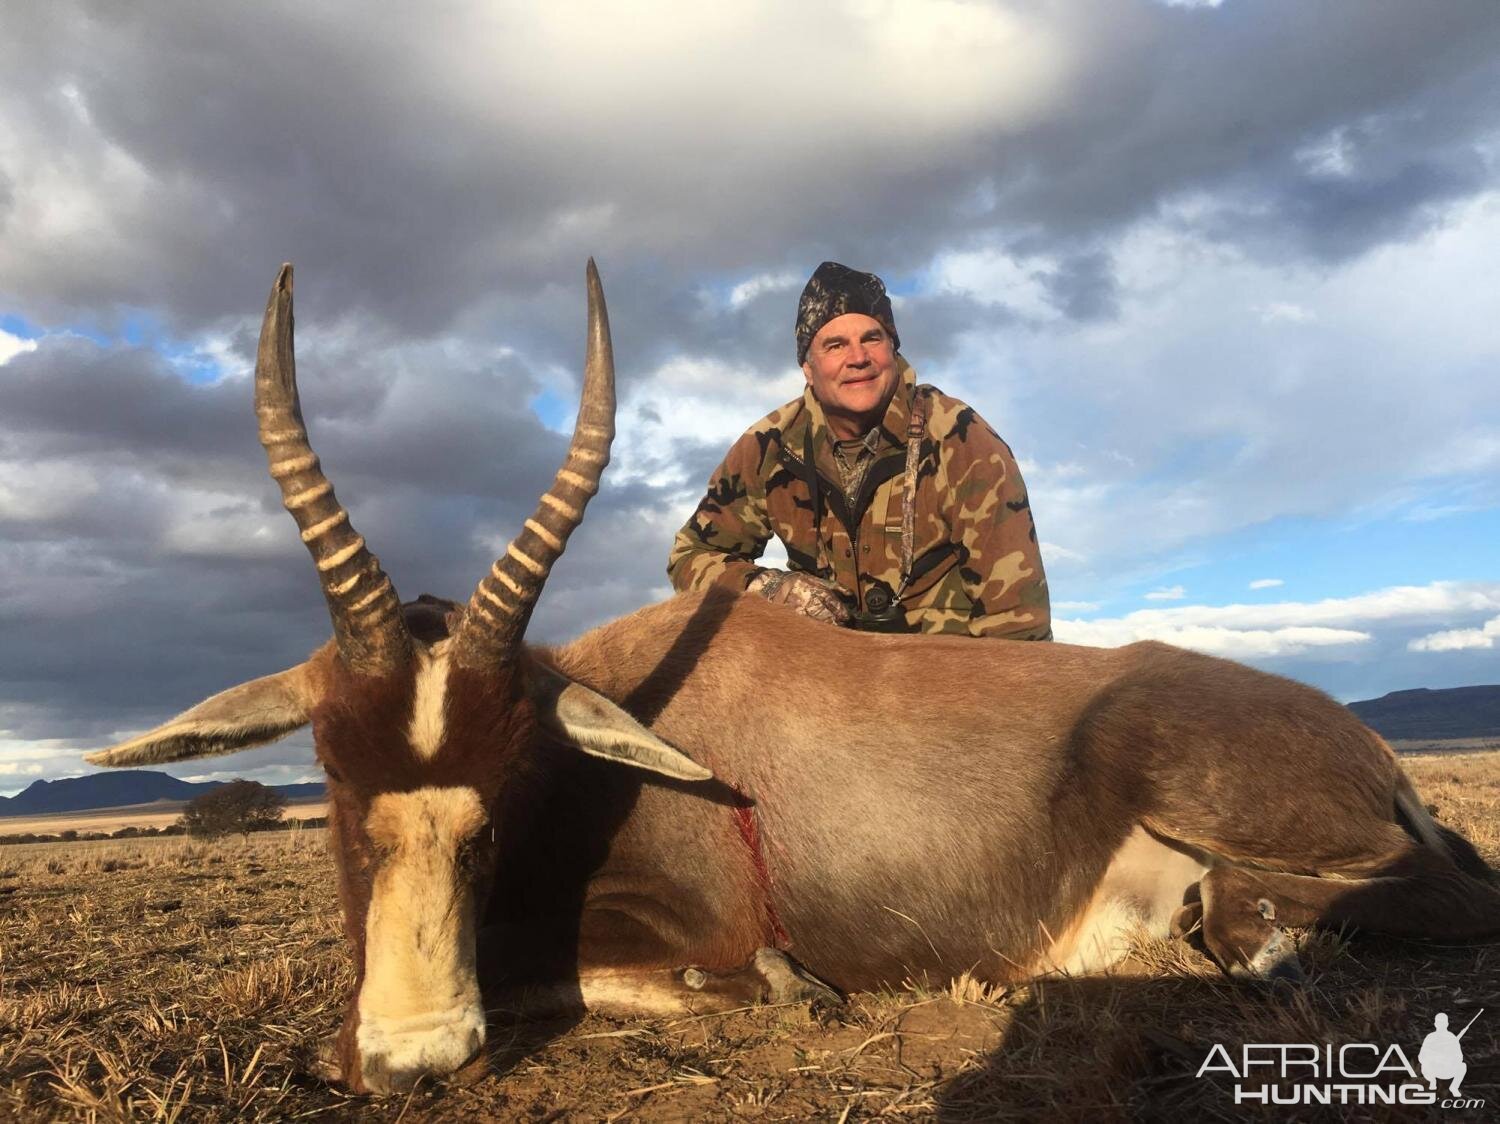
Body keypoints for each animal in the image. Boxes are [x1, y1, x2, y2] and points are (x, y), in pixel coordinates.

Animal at [90, 262, 1500, 1086]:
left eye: (501, 790)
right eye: (332, 778)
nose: (413, 1059)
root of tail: (1362, 743)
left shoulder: (693, 930)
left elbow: (621, 973)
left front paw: (784, 987)